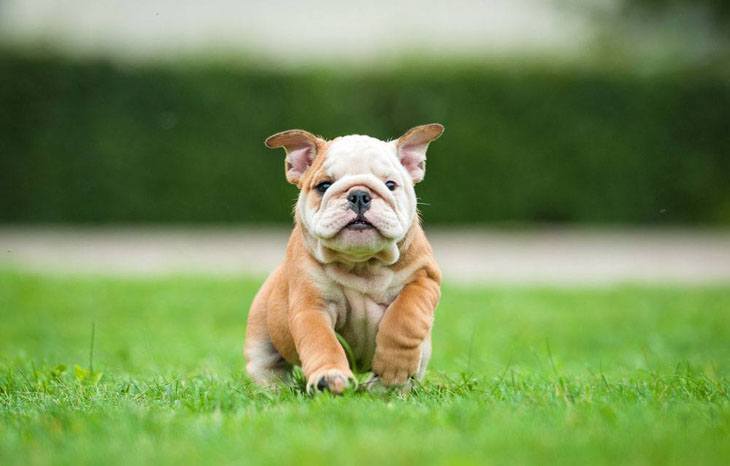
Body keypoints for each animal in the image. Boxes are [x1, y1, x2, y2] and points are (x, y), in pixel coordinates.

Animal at [242, 123, 440, 394]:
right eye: (324, 186)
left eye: (390, 185)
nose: (359, 195)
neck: (362, 264)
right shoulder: (312, 306)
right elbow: (322, 341)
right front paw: (329, 377)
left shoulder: (424, 278)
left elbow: (405, 317)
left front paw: (394, 368)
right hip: (261, 333)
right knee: (267, 366)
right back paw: (274, 389)